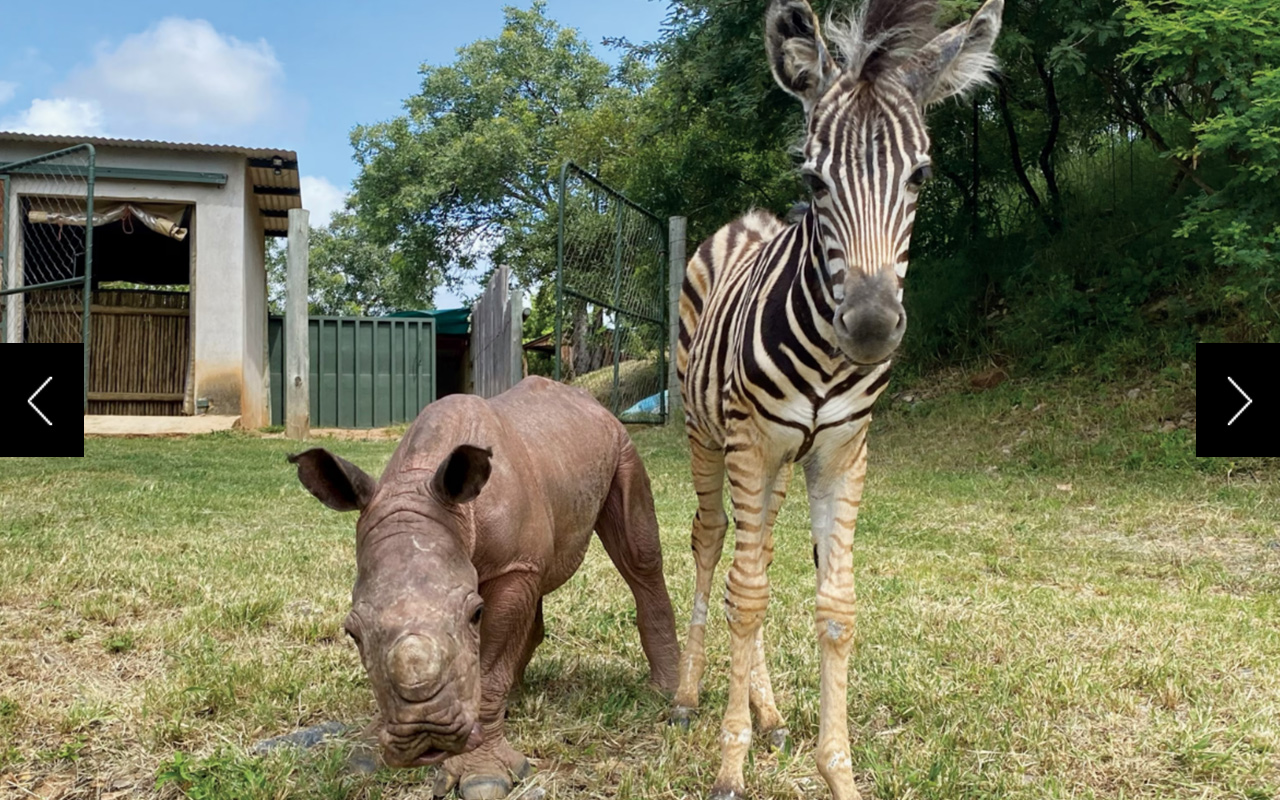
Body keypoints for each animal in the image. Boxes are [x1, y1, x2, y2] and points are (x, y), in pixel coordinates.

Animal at [290, 376, 680, 798]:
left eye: (475, 614)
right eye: (352, 632)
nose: (427, 735)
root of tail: (590, 401)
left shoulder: (512, 566)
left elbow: (491, 663)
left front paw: (484, 775)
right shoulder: (512, 562)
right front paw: (367, 755)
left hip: (622, 444)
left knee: (639, 558)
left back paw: (666, 693)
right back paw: (517, 697)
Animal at [675, 1, 1003, 798]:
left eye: (920, 176)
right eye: (814, 179)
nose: (873, 326)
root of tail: (745, 219)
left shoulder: (841, 452)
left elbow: (835, 606)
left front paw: (835, 768)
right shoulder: (752, 444)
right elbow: (748, 594)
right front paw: (729, 765)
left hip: (772, 465)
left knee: (750, 562)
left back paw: (767, 713)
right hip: (709, 438)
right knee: (713, 545)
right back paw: (690, 696)